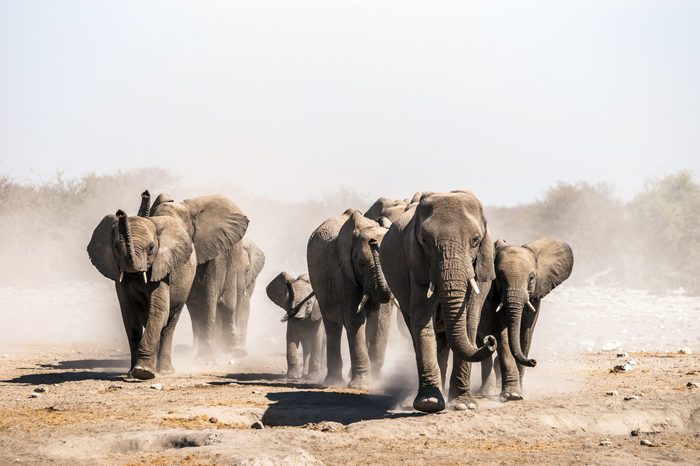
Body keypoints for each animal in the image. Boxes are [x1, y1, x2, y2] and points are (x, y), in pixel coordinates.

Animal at [87, 195, 246, 380]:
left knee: (183, 319)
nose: (120, 213)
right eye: (116, 247)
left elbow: (168, 309)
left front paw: (143, 372)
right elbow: (130, 317)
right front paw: (133, 373)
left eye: (151, 248)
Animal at [137, 191, 258, 358]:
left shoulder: (214, 255)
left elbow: (208, 298)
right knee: (195, 312)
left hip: (233, 266)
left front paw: (205, 359)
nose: (145, 194)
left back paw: (232, 351)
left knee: (227, 305)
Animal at [306, 209, 394, 388]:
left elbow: (380, 319)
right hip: (321, 284)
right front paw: (361, 385)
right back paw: (333, 382)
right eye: (361, 264)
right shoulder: (343, 272)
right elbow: (354, 318)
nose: (374, 242)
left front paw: (376, 382)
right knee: (332, 324)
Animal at [380, 191, 500, 414]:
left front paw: (463, 404)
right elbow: (422, 322)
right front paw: (429, 404)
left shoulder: (481, 269)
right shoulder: (416, 265)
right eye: (425, 241)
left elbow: (469, 322)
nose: (490, 340)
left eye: (475, 240)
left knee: (444, 339)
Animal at [476, 238, 576, 402]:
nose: (533, 361)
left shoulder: (535, 295)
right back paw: (485, 392)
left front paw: (520, 392)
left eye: (531, 278)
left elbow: (526, 334)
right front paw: (512, 395)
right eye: (499, 278)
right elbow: (503, 336)